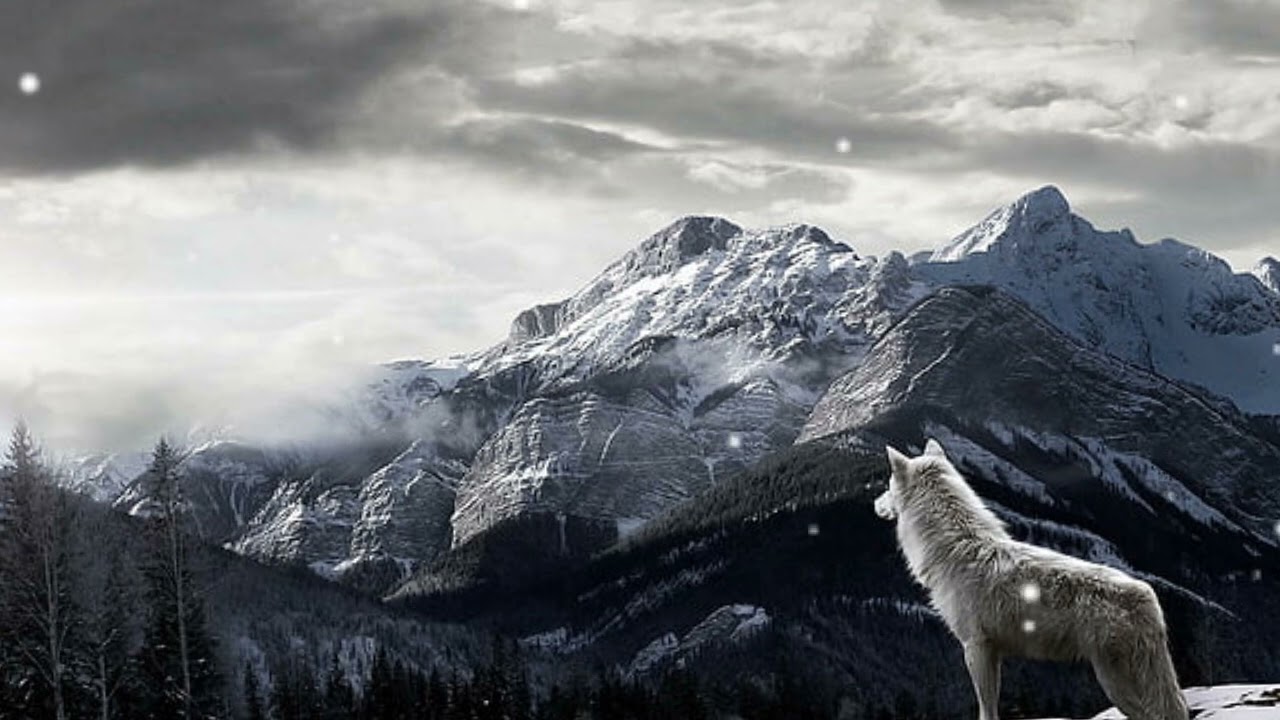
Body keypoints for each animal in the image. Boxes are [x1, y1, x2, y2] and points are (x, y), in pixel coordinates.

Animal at [873, 440, 1188, 720]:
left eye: (887, 486)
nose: (875, 503)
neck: (956, 547)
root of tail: (1146, 596)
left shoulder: (975, 647)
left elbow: (986, 710)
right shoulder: (993, 652)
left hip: (1116, 684)